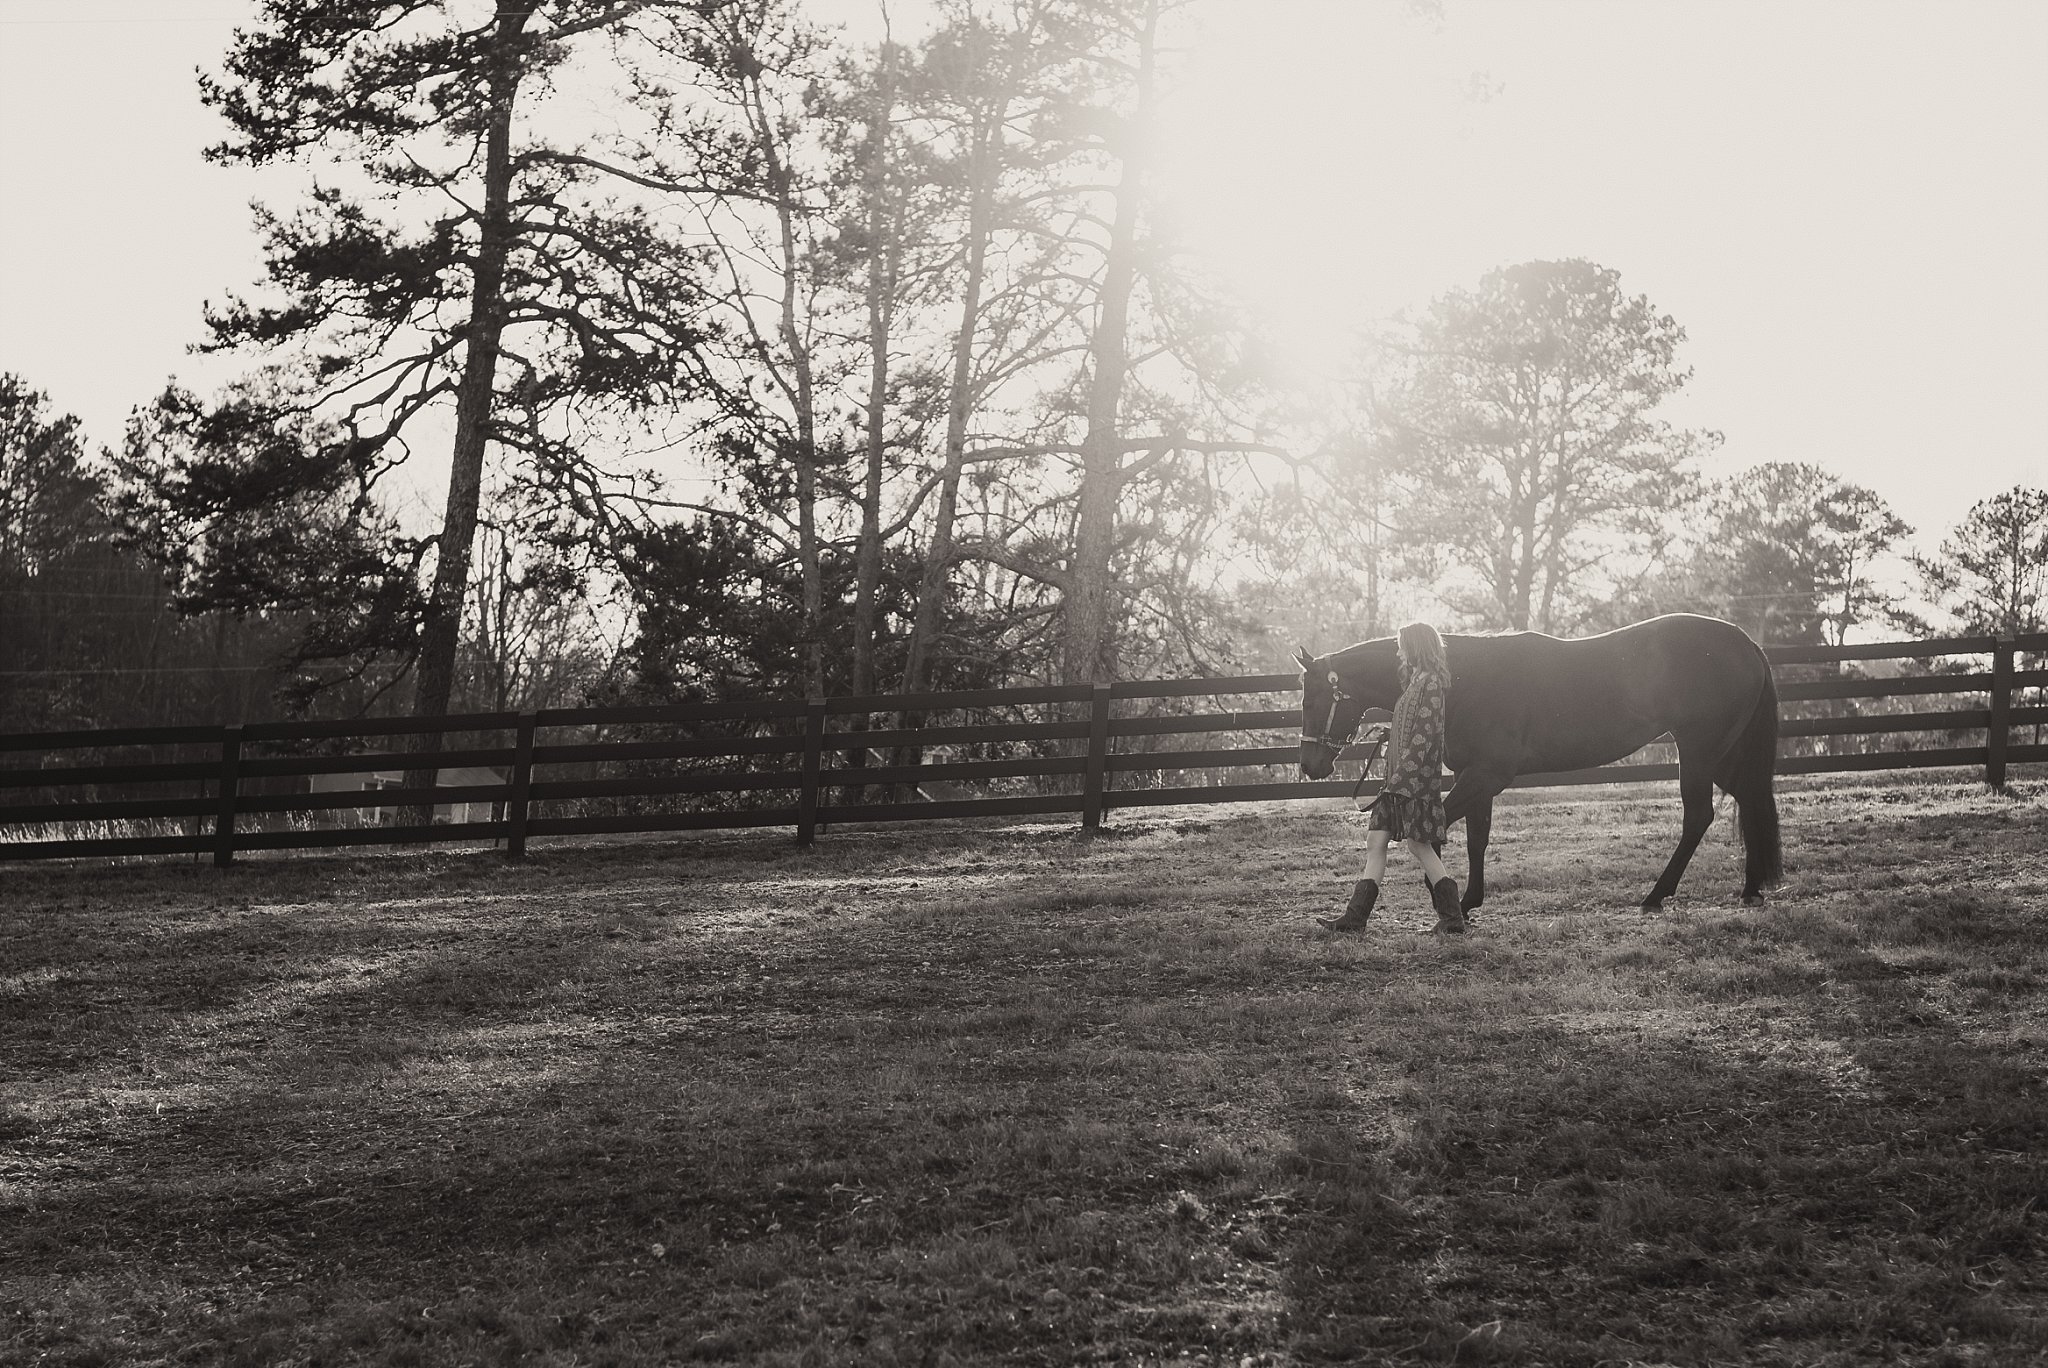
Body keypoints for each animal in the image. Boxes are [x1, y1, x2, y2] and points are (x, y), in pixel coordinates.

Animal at [1302, 614, 1785, 913]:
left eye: (1312, 700)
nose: (1311, 765)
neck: (1461, 679)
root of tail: (1745, 643)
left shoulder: (1486, 775)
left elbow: (1435, 831)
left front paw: (1444, 896)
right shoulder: (1476, 777)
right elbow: (1475, 839)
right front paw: (1467, 900)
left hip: (1699, 753)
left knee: (1699, 817)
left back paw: (1656, 895)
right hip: (1719, 757)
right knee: (1750, 802)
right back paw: (1750, 888)